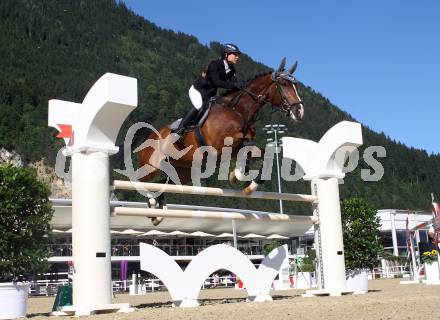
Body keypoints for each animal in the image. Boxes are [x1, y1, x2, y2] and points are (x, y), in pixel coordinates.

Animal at [136, 57, 304, 222]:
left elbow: (264, 154)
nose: (299, 111)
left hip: (183, 171)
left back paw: (157, 212)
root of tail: (150, 136)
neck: (239, 110)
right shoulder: (218, 148)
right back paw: (152, 203)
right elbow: (246, 147)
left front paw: (248, 184)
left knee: (161, 185)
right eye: (283, 84)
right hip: (150, 166)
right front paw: (237, 175)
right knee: (141, 181)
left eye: (295, 85)